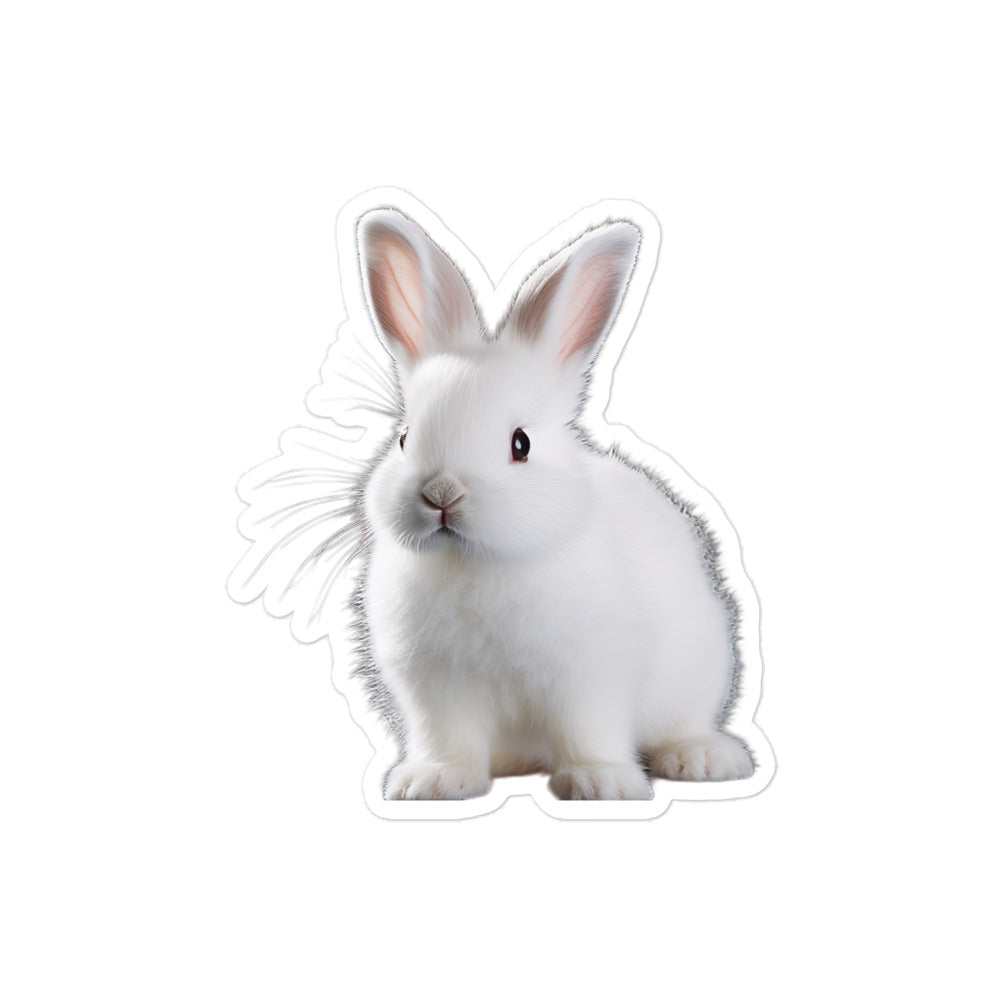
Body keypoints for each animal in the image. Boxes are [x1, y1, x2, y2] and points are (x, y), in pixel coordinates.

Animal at [357, 208, 753, 801]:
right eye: (404, 438)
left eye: (520, 443)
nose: (441, 494)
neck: (478, 562)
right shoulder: (435, 690)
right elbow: (447, 739)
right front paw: (433, 782)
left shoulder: (591, 676)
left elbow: (589, 730)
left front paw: (601, 784)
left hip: (700, 669)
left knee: (682, 725)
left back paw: (703, 759)